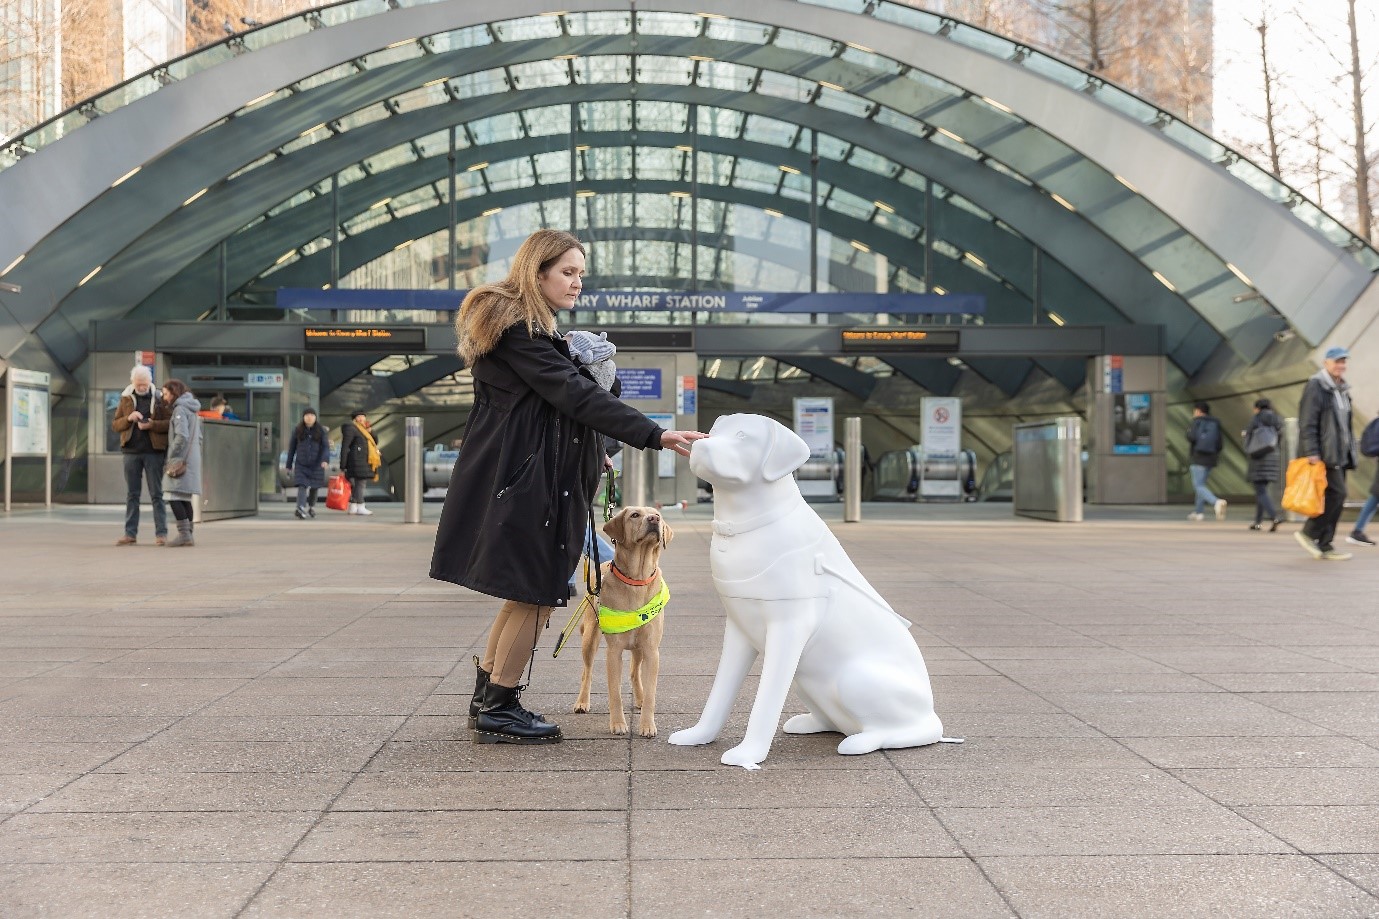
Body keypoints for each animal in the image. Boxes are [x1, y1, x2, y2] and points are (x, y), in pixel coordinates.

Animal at [576, 505, 672, 734]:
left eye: (658, 514)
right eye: (634, 515)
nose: (654, 519)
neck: (637, 579)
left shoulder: (651, 650)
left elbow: (651, 693)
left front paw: (647, 725)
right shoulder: (614, 652)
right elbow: (615, 693)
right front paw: (618, 723)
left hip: (639, 648)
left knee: (634, 672)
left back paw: (639, 698)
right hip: (590, 638)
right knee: (587, 671)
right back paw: (582, 702)